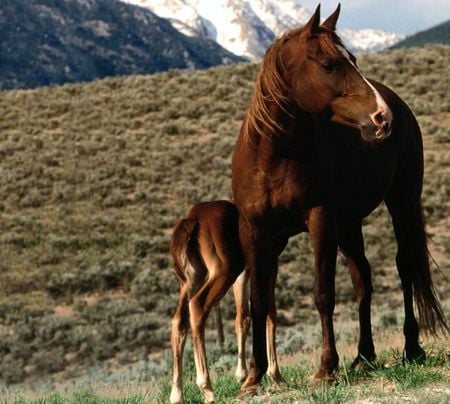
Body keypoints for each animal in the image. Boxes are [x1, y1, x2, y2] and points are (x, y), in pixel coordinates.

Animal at [230, 3, 448, 392]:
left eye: (354, 59)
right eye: (329, 64)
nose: (382, 117)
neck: (274, 156)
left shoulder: (320, 220)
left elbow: (323, 293)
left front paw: (326, 369)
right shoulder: (256, 232)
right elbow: (258, 301)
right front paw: (253, 378)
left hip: (401, 202)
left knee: (405, 266)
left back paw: (411, 348)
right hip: (348, 224)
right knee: (363, 278)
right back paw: (364, 356)